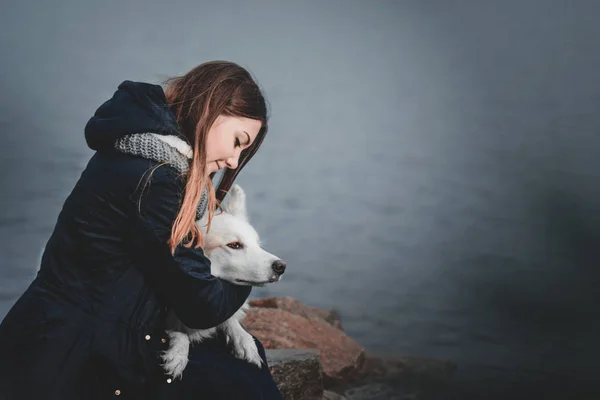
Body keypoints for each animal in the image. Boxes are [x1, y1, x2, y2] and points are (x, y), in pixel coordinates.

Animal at [159, 184, 286, 378]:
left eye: (258, 245)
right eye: (234, 245)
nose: (281, 266)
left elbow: (230, 320)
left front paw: (244, 341)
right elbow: (179, 334)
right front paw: (177, 354)